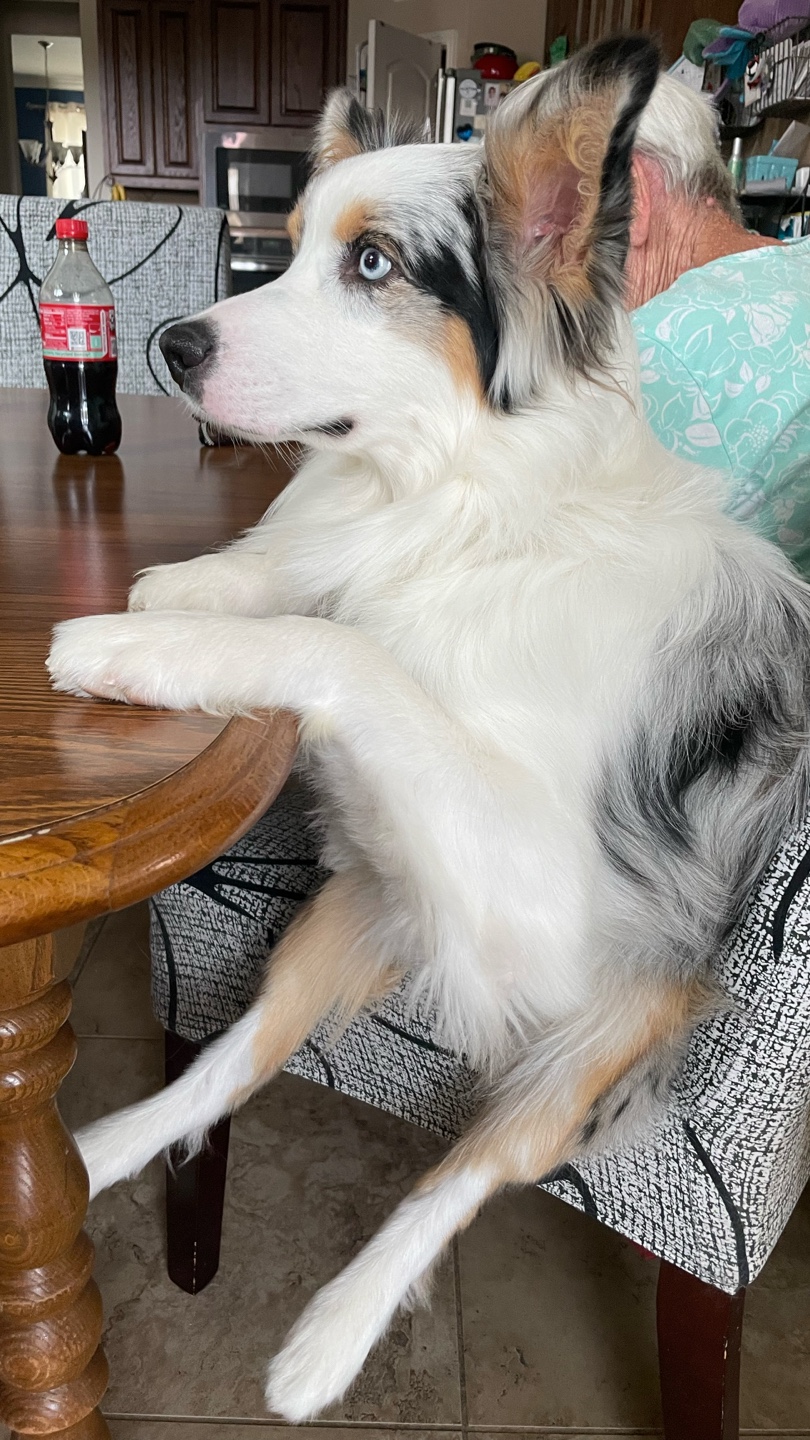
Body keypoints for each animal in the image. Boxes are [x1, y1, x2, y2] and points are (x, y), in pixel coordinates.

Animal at [47, 30, 807, 1416]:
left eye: (373, 266)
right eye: (289, 247)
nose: (173, 344)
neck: (468, 496)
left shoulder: (542, 900)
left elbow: (343, 640)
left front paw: (127, 645)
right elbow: (311, 579)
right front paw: (191, 588)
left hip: (608, 1021)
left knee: (463, 1172)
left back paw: (324, 1343)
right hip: (344, 903)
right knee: (238, 1053)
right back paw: (110, 1146)